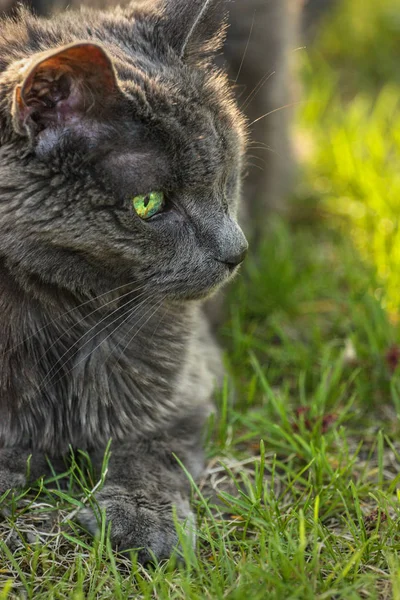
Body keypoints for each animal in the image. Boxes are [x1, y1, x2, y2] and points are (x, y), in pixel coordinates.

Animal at [0, 0, 250, 564]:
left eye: (226, 174)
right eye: (148, 203)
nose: (237, 252)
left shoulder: (185, 379)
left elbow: (149, 445)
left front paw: (142, 519)